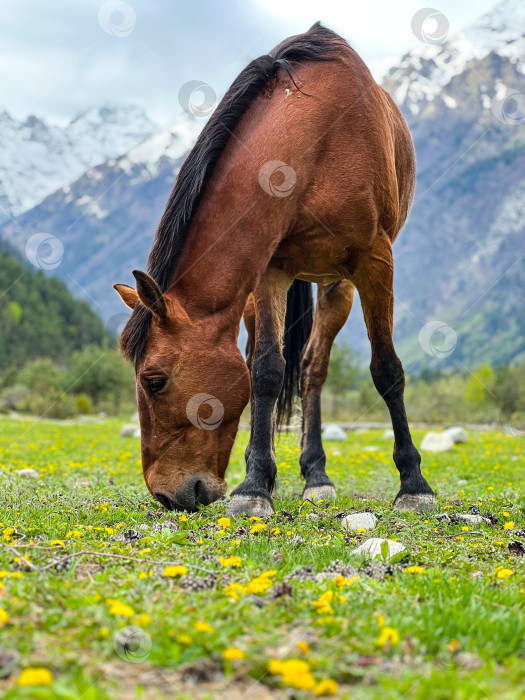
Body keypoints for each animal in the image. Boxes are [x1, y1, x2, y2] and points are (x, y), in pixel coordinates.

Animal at [114, 23, 434, 516]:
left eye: (154, 381)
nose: (166, 495)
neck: (316, 143)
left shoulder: (376, 262)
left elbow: (387, 370)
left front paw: (414, 483)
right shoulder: (270, 270)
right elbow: (264, 370)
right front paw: (253, 486)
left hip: (337, 286)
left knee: (312, 368)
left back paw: (316, 475)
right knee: (270, 362)